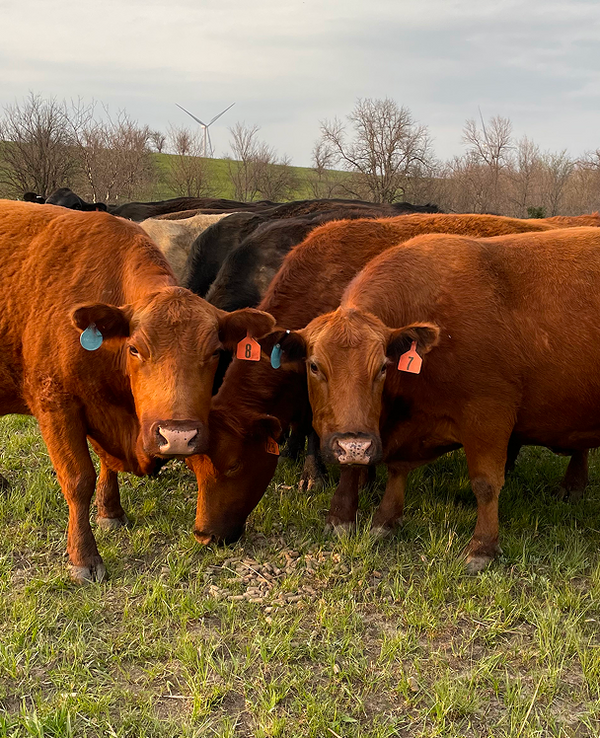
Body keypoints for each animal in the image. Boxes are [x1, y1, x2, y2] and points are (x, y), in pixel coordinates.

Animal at [0, 201, 274, 582]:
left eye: (216, 352)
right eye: (135, 349)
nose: (178, 436)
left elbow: (106, 465)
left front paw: (111, 512)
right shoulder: (56, 406)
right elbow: (78, 480)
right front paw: (83, 556)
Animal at [278, 227, 600, 572]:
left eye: (382, 367)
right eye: (314, 366)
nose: (354, 445)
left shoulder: (489, 415)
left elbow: (486, 484)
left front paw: (482, 547)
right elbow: (389, 468)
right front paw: (376, 520)